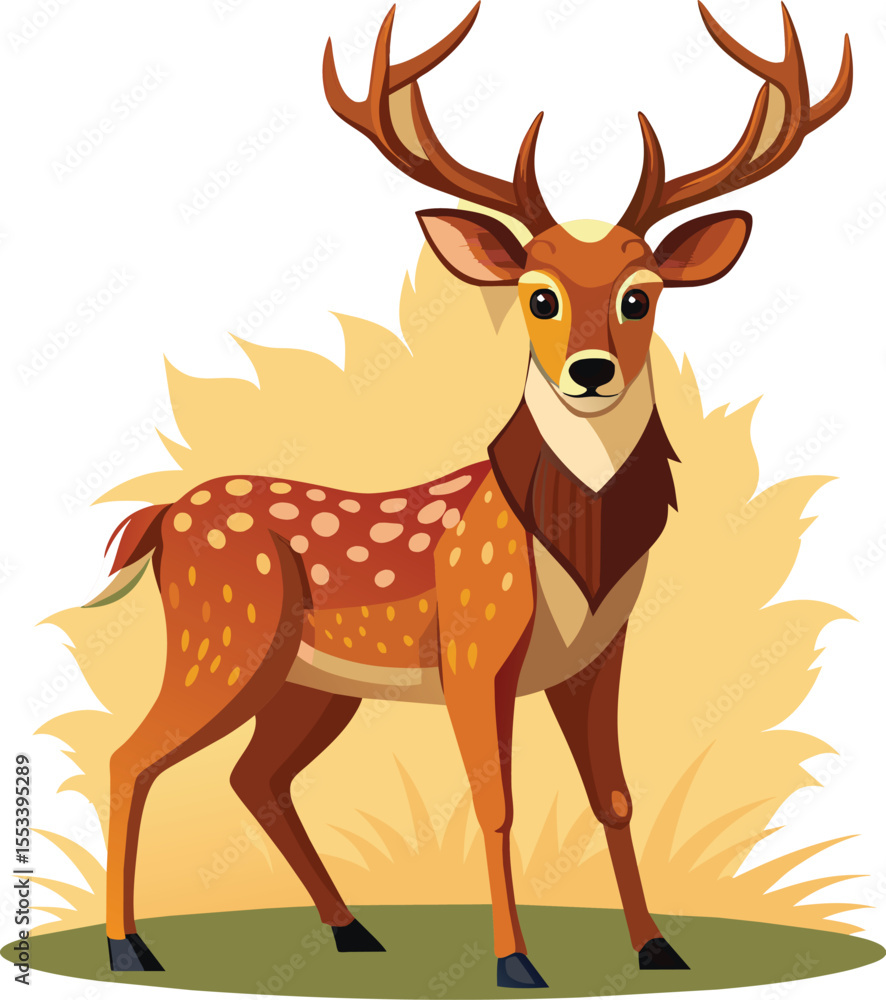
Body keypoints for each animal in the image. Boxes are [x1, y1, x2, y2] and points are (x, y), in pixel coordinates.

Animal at [100, 2, 852, 988]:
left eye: (641, 295)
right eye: (537, 294)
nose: (590, 369)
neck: (576, 553)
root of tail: (161, 518)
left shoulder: (600, 657)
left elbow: (614, 794)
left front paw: (656, 946)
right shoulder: (475, 644)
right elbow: (495, 800)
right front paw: (516, 962)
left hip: (308, 682)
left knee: (253, 776)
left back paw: (351, 928)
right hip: (223, 634)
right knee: (129, 757)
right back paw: (128, 943)